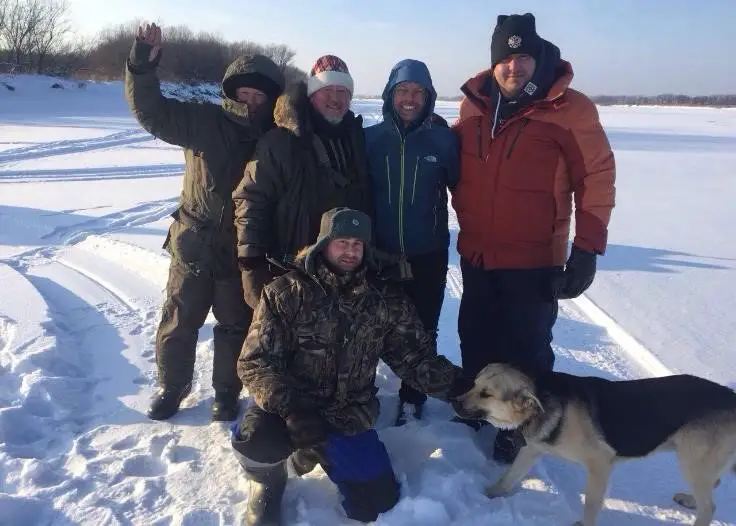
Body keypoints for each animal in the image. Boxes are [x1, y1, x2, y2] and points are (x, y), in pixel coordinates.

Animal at [454, 366, 736, 524]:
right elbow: (509, 476)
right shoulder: (531, 449)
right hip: (697, 462)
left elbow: (591, 502)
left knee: (709, 508)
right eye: (475, 384)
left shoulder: (600, 463)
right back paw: (689, 500)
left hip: (692, 462)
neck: (544, 400)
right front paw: (488, 494)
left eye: (487, 394)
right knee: (714, 483)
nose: (454, 401)